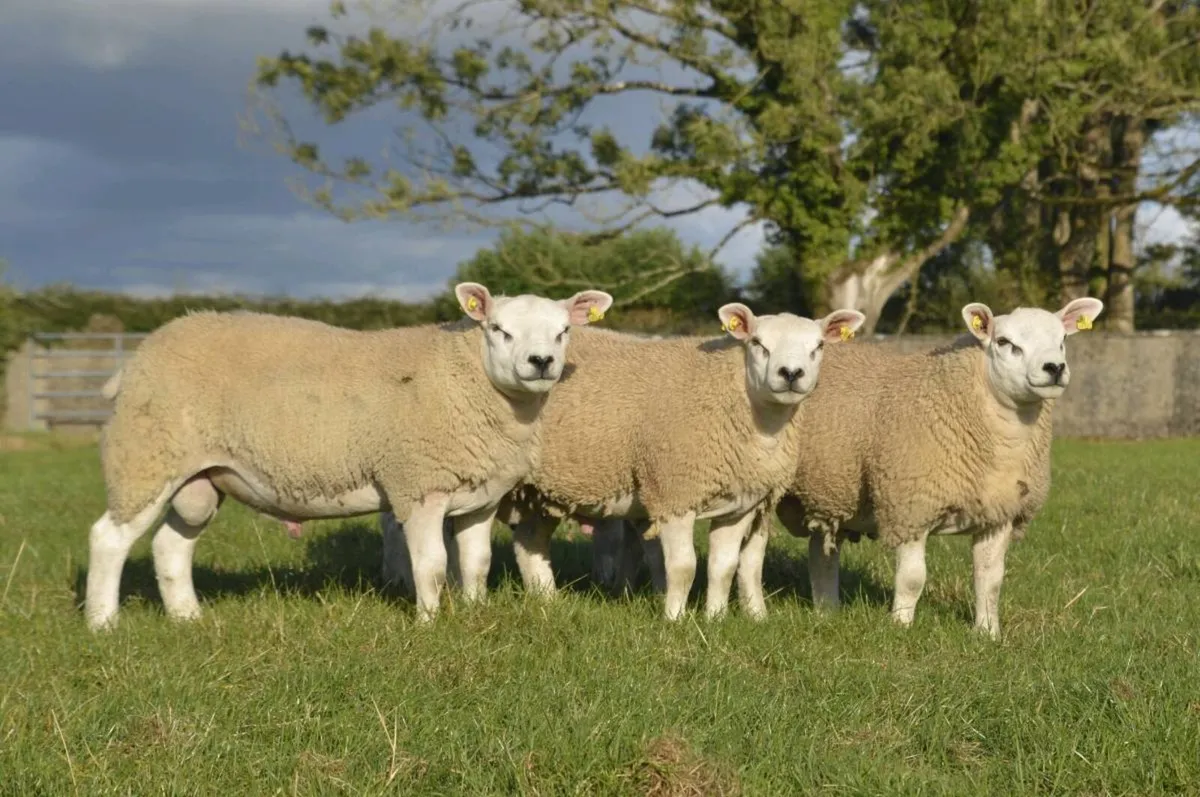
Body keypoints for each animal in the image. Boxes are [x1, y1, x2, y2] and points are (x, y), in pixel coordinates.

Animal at [84, 282, 613, 630]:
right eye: (499, 329)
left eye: (563, 331)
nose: (541, 362)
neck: (465, 378)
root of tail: (137, 358)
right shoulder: (417, 484)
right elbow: (432, 565)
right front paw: (428, 624)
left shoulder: (479, 494)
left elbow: (477, 562)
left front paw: (475, 611)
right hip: (146, 457)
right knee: (109, 539)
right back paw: (102, 623)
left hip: (200, 477)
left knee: (170, 544)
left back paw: (187, 617)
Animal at [381, 305, 866, 620]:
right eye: (758, 344)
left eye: (819, 346)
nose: (791, 374)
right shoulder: (674, 490)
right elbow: (683, 566)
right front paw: (675, 621)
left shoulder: (740, 502)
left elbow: (724, 566)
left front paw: (714, 619)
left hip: (536, 489)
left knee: (529, 542)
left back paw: (547, 601)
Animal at [772, 297, 1104, 640]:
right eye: (1004, 342)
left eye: (1062, 340)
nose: (1055, 368)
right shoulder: (911, 506)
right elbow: (912, 578)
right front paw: (901, 626)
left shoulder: (999, 513)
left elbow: (990, 579)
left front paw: (988, 634)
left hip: (830, 494)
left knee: (821, 554)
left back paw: (827, 612)